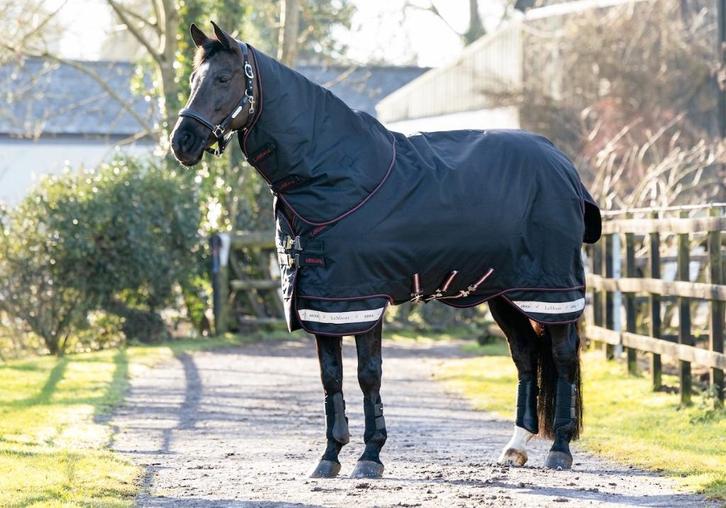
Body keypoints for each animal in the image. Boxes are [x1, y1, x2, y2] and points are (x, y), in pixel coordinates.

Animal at [170, 22, 602, 480]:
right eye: (193, 79)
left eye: (223, 78)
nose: (182, 142)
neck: (336, 173)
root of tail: (563, 163)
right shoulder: (323, 301)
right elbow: (331, 378)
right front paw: (330, 457)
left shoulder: (362, 299)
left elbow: (368, 376)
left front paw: (369, 456)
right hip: (505, 294)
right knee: (525, 356)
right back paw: (515, 447)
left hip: (551, 291)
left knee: (563, 356)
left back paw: (559, 449)